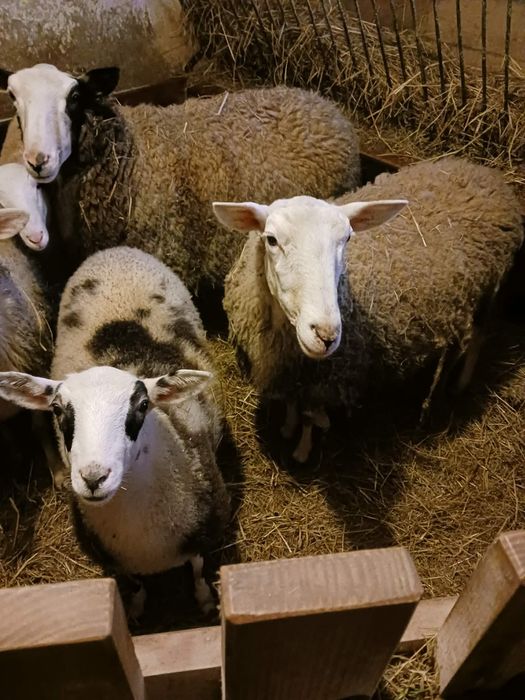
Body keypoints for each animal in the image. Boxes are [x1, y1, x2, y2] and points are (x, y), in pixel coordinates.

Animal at [0, 246, 229, 613]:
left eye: (143, 405)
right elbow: (133, 582)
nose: (94, 478)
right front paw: (134, 607)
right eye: (57, 409)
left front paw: (206, 599)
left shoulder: (204, 530)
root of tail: (115, 251)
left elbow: (196, 568)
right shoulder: (115, 559)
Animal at [213, 157, 524, 463]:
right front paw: (288, 427)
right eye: (271, 239)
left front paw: (302, 450)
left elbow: (310, 417)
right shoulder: (291, 369)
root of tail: (485, 172)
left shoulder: (323, 381)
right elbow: (292, 400)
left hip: (490, 289)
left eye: (348, 239)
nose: (326, 334)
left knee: (478, 337)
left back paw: (460, 383)